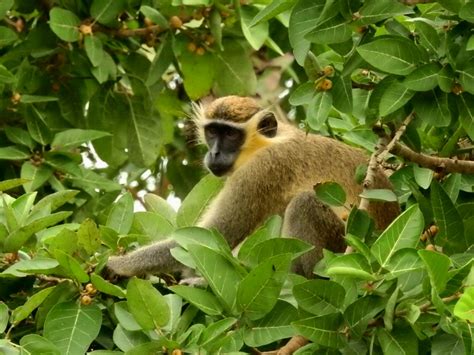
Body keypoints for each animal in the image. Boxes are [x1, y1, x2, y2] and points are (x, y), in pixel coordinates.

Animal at [105, 96, 398, 280]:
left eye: (230, 134)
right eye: (212, 132)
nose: (215, 153)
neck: (266, 144)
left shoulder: (261, 171)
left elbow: (215, 235)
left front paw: (115, 266)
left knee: (304, 204)